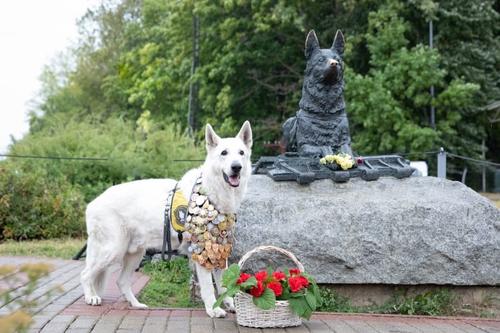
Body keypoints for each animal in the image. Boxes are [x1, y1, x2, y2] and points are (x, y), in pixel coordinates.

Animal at [82, 120, 254, 316]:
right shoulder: (202, 251)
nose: (236, 167)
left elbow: (224, 286)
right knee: (85, 274)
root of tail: (93, 202)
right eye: (224, 153)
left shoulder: (218, 248)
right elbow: (209, 288)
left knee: (121, 281)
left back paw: (136, 304)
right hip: (112, 251)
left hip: (134, 254)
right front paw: (213, 310)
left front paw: (230, 305)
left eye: (241, 153)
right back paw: (91, 298)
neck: (212, 190)